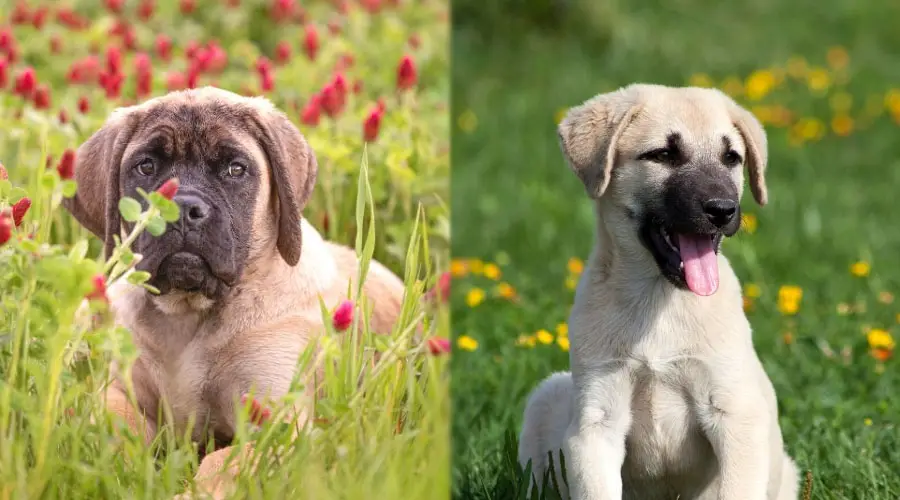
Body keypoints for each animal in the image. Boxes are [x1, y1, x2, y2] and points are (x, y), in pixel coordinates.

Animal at [68, 86, 406, 496]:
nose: (183, 209)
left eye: (235, 169)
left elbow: (222, 463)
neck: (189, 316)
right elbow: (110, 427)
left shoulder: (276, 423)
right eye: (146, 166)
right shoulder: (121, 390)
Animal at [516, 84, 800, 498]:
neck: (659, 301)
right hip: (547, 398)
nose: (723, 210)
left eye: (731, 158)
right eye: (663, 155)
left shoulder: (735, 415)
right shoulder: (595, 424)